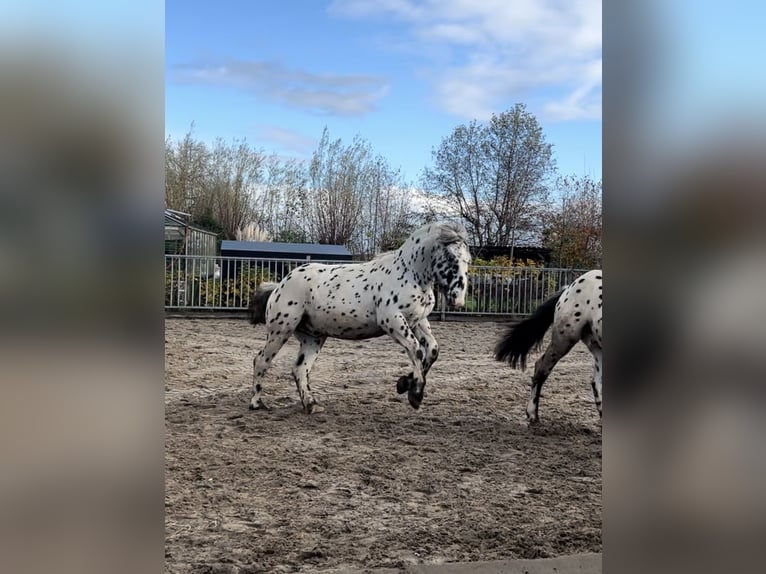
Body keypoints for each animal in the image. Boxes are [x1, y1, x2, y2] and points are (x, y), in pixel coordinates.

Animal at [249, 220, 472, 414]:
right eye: (450, 258)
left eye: (467, 260)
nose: (458, 300)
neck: (409, 273)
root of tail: (280, 285)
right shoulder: (392, 320)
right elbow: (416, 350)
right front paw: (414, 395)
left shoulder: (417, 321)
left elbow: (432, 350)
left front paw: (403, 384)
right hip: (281, 329)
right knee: (261, 360)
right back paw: (257, 403)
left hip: (313, 337)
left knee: (299, 369)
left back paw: (311, 405)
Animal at [498, 272, 608, 426]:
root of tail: (569, 288)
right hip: (563, 340)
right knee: (541, 368)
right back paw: (532, 415)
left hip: (597, 347)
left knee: (596, 384)